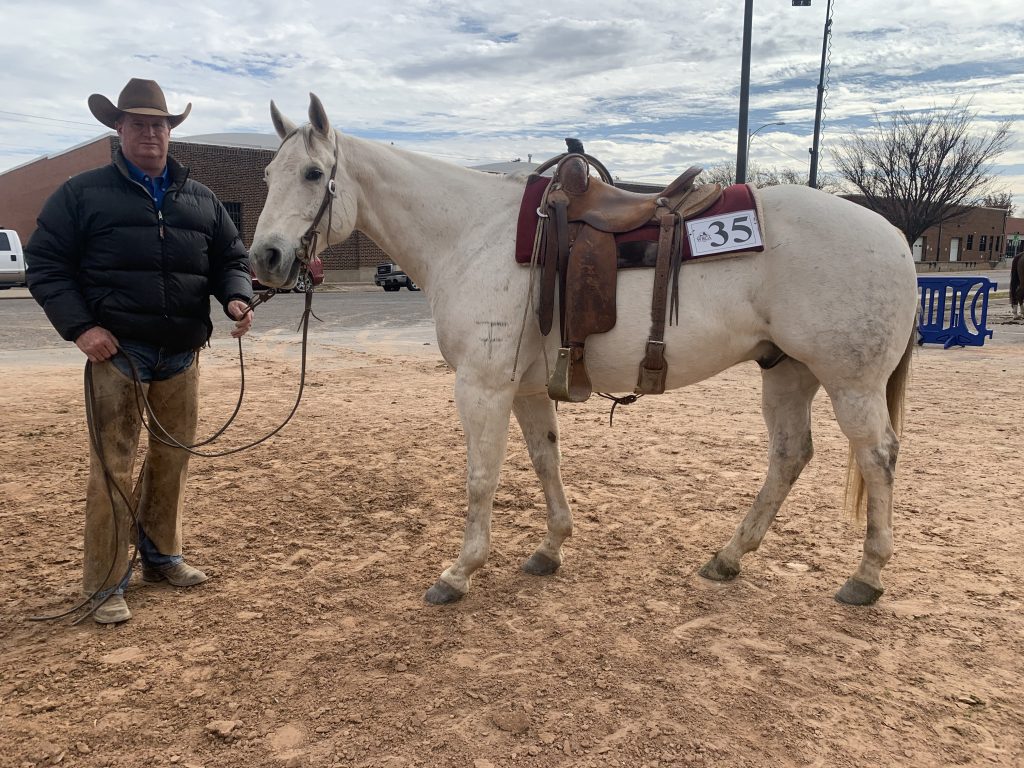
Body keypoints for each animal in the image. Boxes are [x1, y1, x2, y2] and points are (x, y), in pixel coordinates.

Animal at [250, 94, 920, 607]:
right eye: (267, 177)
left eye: (313, 174)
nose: (266, 258)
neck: (471, 235)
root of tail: (893, 235)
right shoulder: (524, 388)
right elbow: (545, 461)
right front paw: (550, 548)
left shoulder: (482, 386)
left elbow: (481, 477)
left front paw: (459, 572)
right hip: (787, 371)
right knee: (789, 455)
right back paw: (729, 557)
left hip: (850, 383)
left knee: (878, 458)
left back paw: (865, 577)